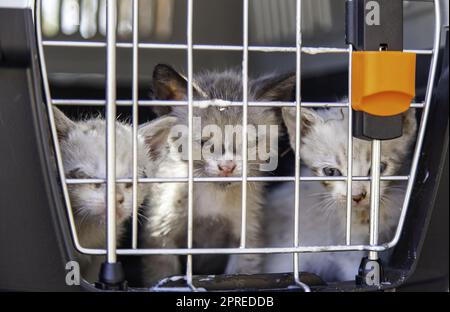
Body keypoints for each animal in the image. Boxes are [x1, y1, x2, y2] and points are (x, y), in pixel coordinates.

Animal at [141, 64, 294, 286]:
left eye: (248, 141)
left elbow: (242, 274)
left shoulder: (248, 236)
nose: (227, 166)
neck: (212, 196)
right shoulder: (159, 236)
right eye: (204, 142)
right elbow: (162, 276)